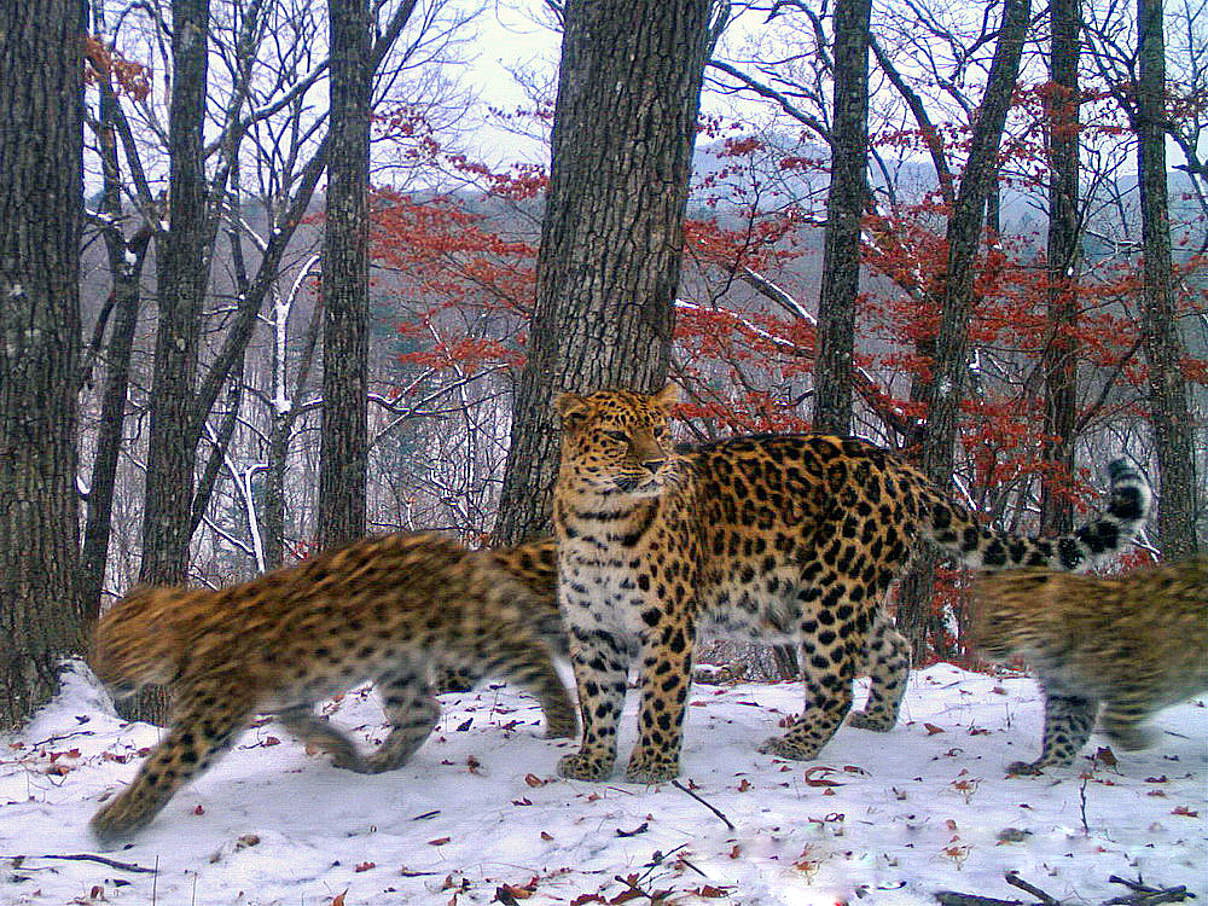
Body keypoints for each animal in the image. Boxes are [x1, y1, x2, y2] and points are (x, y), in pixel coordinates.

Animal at [86, 531, 575, 845]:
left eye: (117, 648)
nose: (100, 674)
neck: (185, 636)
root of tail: (458, 550)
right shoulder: (288, 698)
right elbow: (303, 726)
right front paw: (344, 750)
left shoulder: (208, 719)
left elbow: (163, 765)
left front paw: (116, 820)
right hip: (397, 662)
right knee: (422, 713)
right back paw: (380, 763)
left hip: (469, 635)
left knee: (532, 655)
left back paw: (562, 721)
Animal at [553, 384, 1145, 782]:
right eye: (618, 437)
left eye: (659, 431)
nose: (656, 465)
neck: (599, 521)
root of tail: (901, 467)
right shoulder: (591, 628)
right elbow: (597, 699)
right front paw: (592, 760)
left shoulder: (669, 624)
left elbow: (660, 697)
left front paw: (653, 765)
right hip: (840, 592)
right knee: (895, 645)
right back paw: (877, 719)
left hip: (833, 591)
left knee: (835, 682)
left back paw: (796, 744)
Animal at [971, 558, 1208, 777]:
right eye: (978, 613)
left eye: (998, 619)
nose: (977, 644)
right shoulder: (1069, 695)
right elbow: (1061, 732)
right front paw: (1046, 766)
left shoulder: (1146, 674)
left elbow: (1115, 718)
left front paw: (1140, 740)